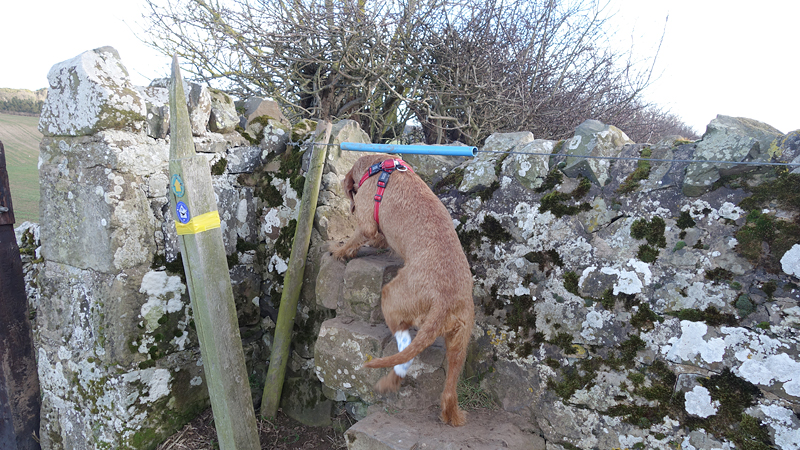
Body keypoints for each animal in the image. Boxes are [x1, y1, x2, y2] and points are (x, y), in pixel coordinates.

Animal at [333, 154, 475, 426]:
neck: (378, 164)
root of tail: (444, 301)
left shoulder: (366, 223)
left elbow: (357, 237)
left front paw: (339, 251)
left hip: (390, 297)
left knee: (404, 347)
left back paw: (389, 382)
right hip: (460, 343)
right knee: (449, 389)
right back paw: (452, 414)